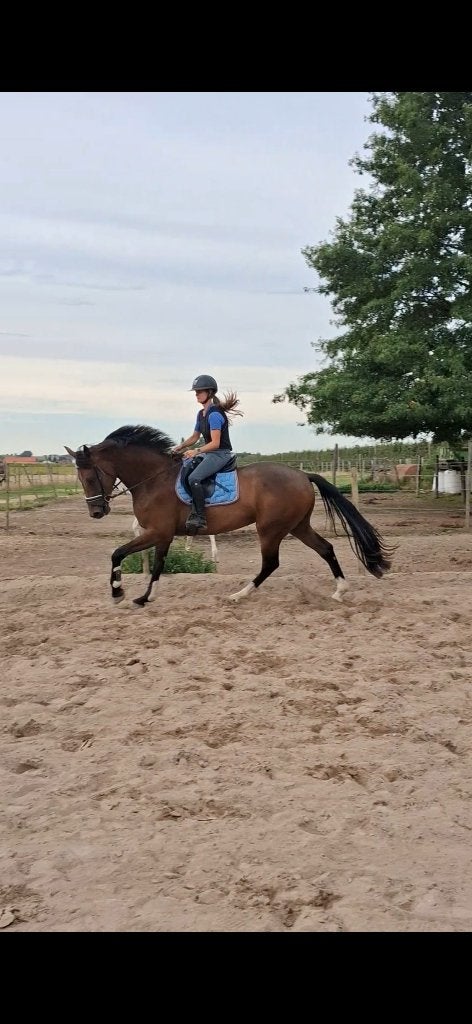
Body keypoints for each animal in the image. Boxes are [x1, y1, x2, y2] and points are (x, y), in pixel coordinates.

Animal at [65, 424, 393, 608]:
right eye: (80, 479)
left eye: (91, 477)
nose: (96, 512)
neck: (154, 479)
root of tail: (303, 475)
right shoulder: (163, 535)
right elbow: (155, 565)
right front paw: (143, 597)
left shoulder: (157, 532)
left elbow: (119, 554)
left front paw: (120, 593)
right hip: (297, 526)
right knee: (326, 549)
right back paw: (339, 592)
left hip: (270, 529)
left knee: (271, 563)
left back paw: (239, 595)